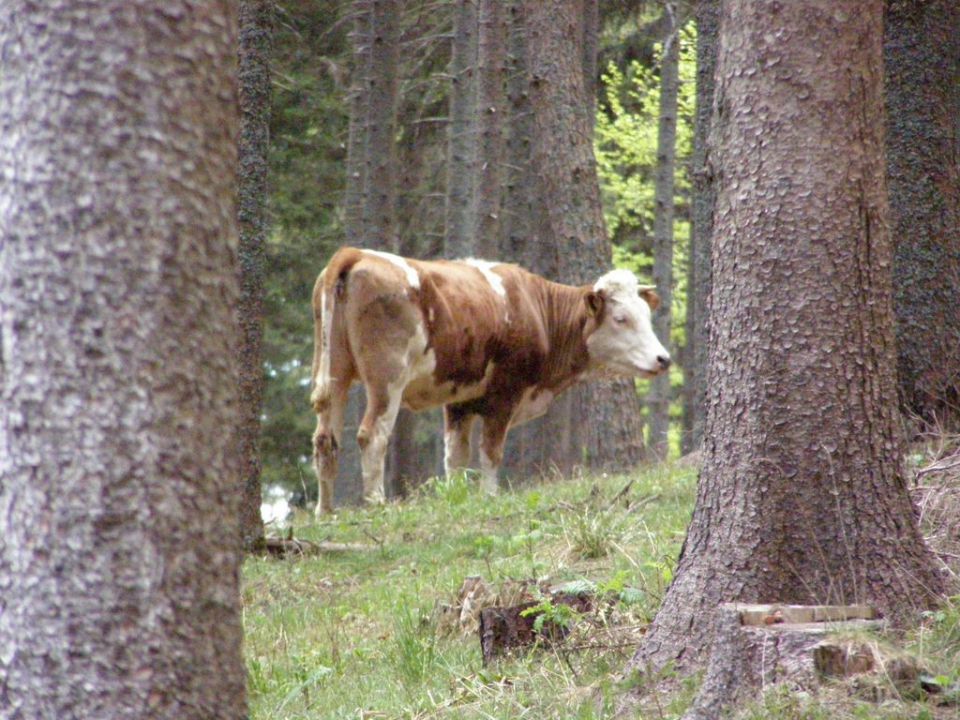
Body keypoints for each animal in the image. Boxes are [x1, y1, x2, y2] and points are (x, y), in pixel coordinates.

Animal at [308, 245, 668, 516]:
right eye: (621, 319)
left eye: (646, 316)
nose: (663, 358)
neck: (538, 310)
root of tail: (356, 253)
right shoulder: (506, 392)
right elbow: (491, 451)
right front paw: (489, 496)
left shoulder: (459, 398)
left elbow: (455, 456)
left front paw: (457, 497)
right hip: (387, 379)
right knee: (372, 435)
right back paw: (376, 503)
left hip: (335, 372)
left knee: (325, 439)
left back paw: (325, 511)